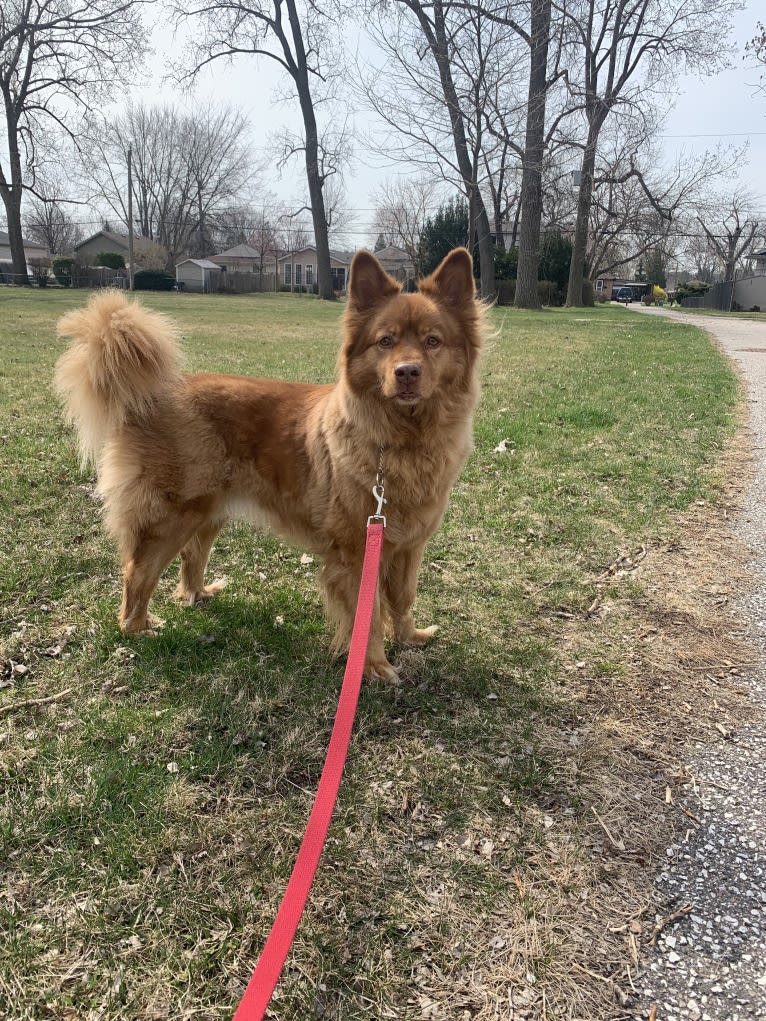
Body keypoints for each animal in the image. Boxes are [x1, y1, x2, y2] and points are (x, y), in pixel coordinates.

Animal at [55, 246, 486, 677]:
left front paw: (410, 638)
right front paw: (374, 667)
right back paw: (138, 628)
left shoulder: (410, 547)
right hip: (170, 516)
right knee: (138, 573)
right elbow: (368, 617)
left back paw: (197, 594)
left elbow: (403, 598)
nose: (407, 372)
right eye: (385, 341)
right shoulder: (357, 553)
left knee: (191, 557)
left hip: (208, 511)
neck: (403, 438)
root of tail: (151, 397)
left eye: (433, 341)